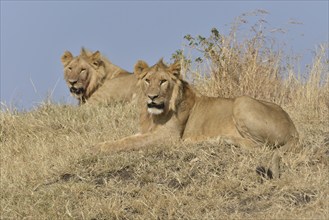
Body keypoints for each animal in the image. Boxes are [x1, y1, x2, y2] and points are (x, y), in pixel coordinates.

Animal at [93, 59, 298, 178]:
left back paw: (221, 139)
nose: (152, 97)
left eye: (163, 81)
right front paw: (100, 144)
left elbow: (129, 143)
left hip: (242, 101)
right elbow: (125, 139)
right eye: (147, 80)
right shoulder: (145, 131)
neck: (154, 115)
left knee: (262, 146)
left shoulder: (168, 137)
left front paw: (99, 148)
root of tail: (294, 129)